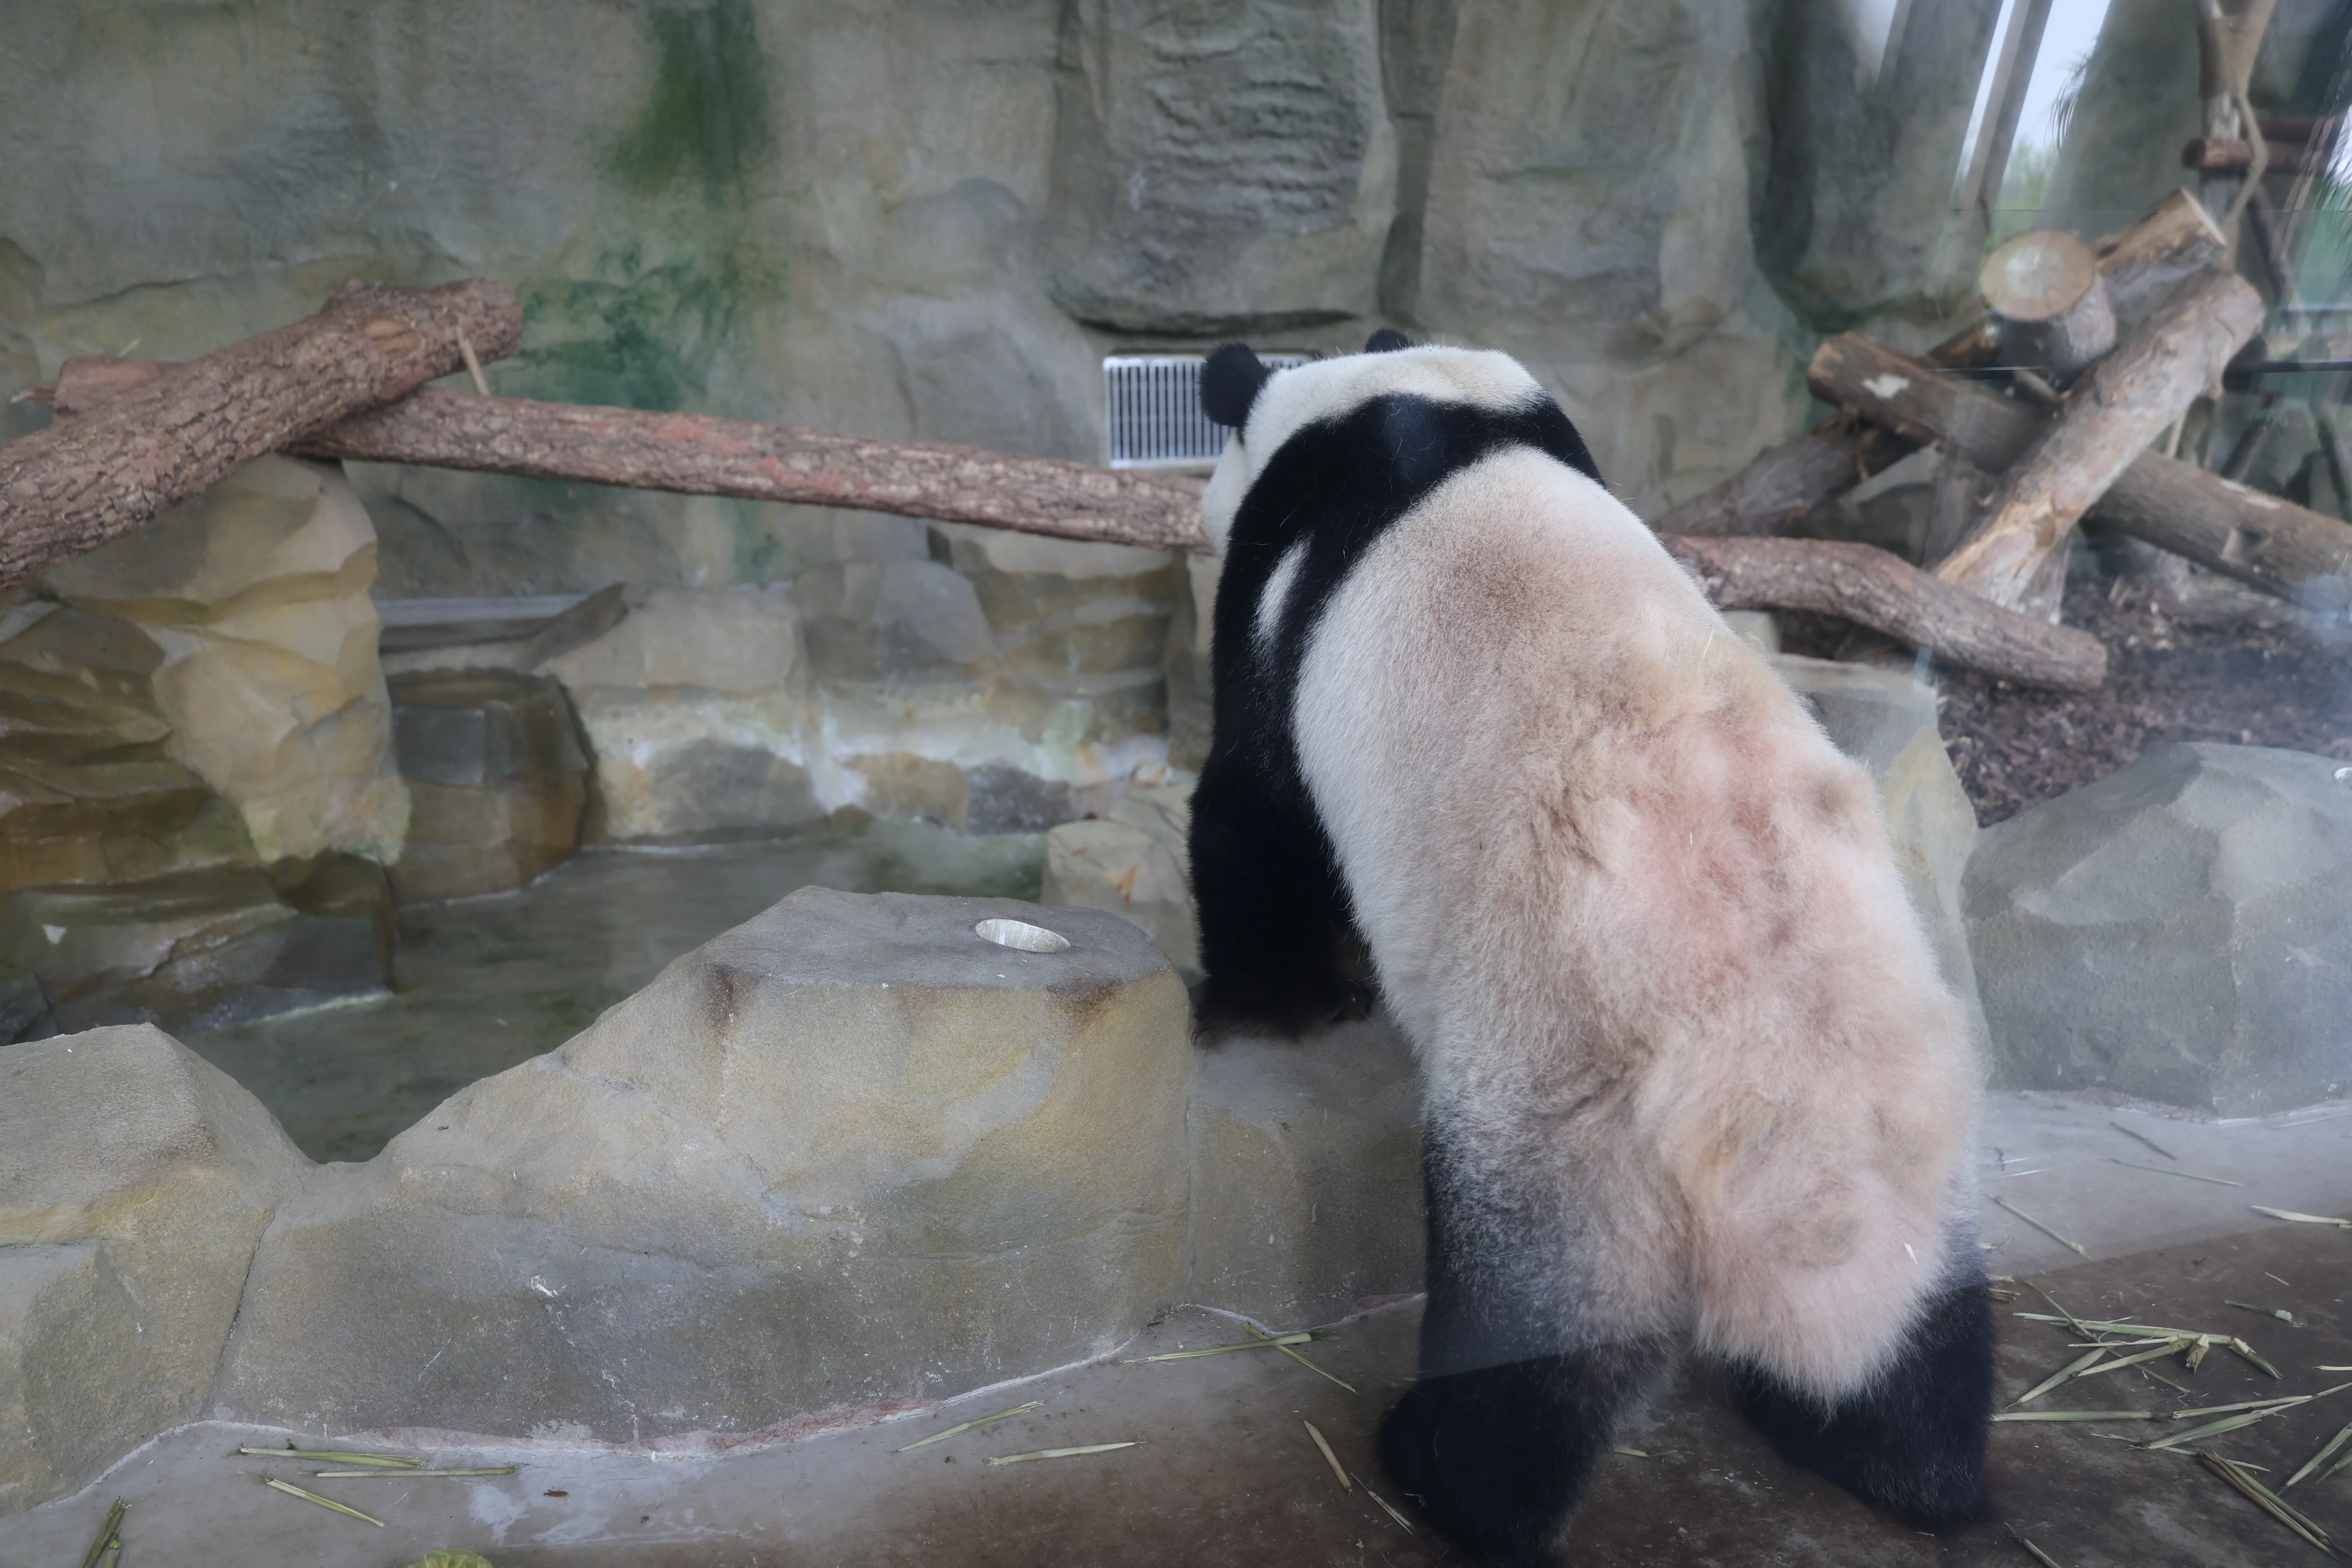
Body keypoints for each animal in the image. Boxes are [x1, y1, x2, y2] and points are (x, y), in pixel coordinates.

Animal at [1187, 331, 1993, 1563]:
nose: (1191, 510)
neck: (1434, 409)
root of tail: (1765, 1104)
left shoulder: (1284, 600)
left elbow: (1254, 812)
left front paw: (1268, 1000)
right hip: (1905, 1108)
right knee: (1915, 1319)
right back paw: (1905, 1463)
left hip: (1571, 1121)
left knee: (1529, 1348)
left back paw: (1442, 1477)